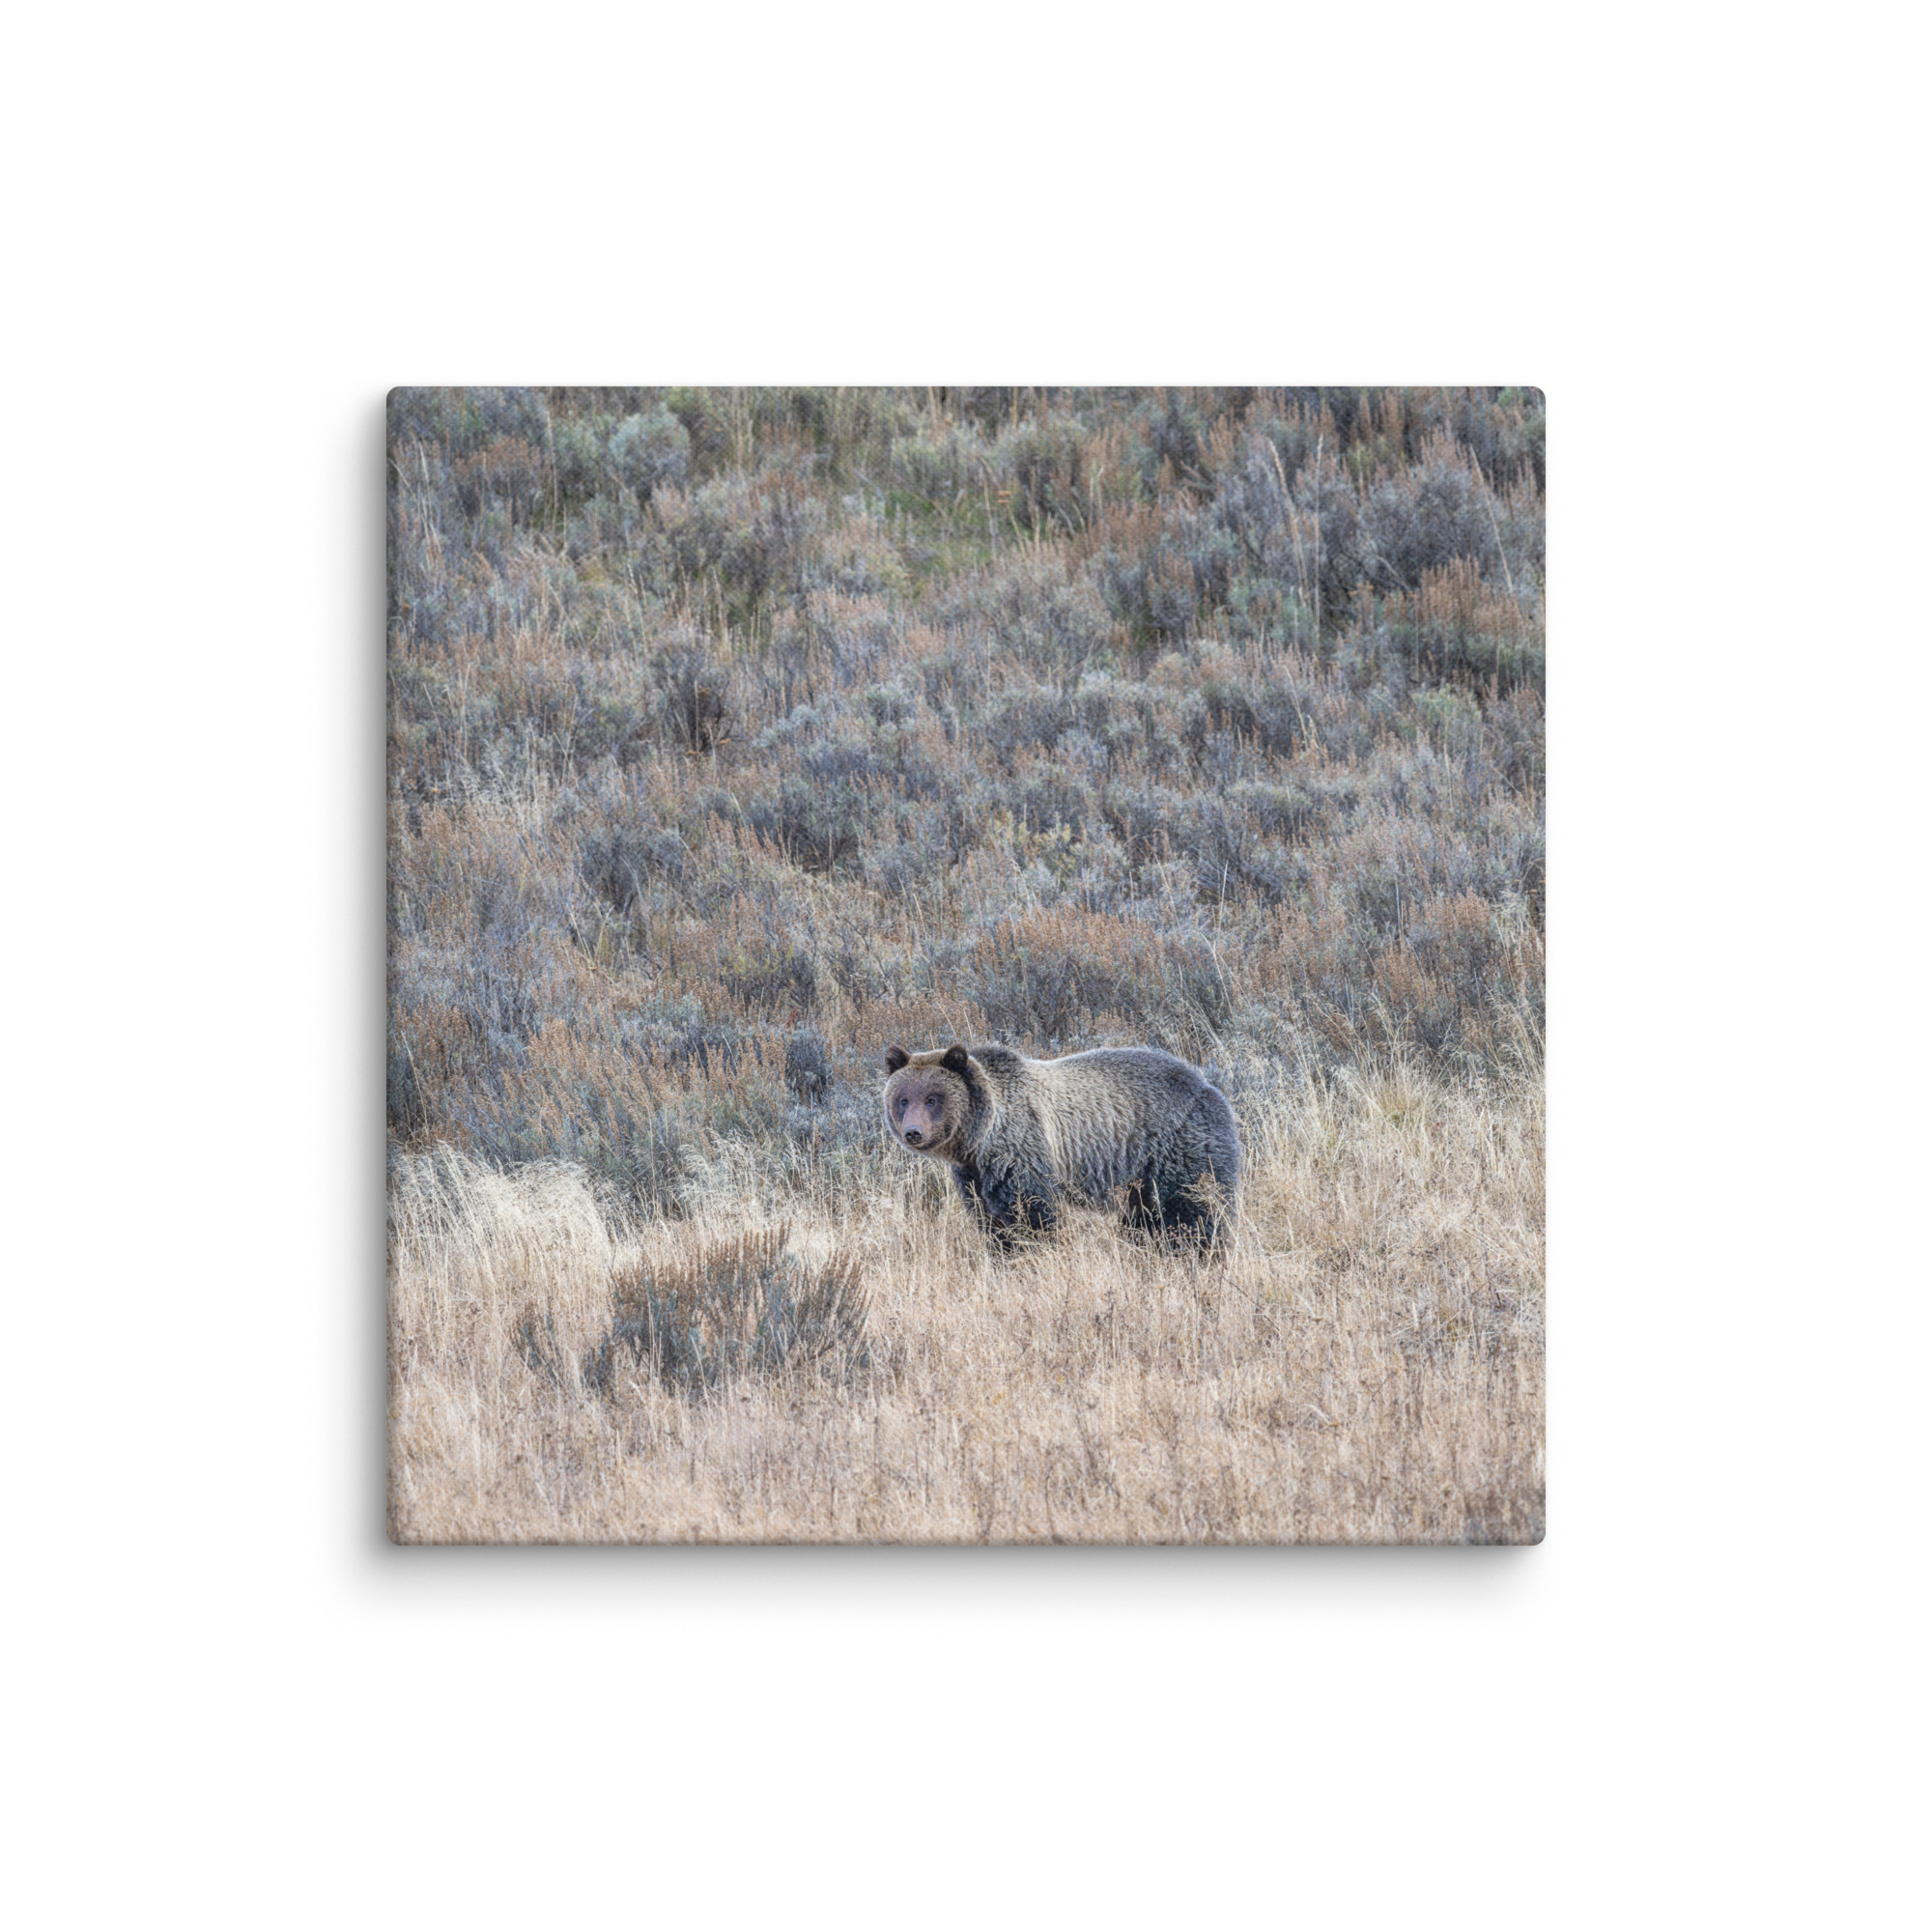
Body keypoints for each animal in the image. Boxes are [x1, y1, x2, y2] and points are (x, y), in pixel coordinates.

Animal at [882, 1042, 1241, 1252]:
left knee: (1193, 1210)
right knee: (1144, 1219)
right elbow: (990, 1220)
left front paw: (1033, 1253)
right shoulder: (974, 1176)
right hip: (1139, 1178)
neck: (979, 1139)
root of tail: (1208, 1085)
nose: (913, 1132)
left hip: (1179, 1147)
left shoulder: (1022, 1152)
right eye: (903, 1099)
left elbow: (1032, 1215)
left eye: (932, 1098)